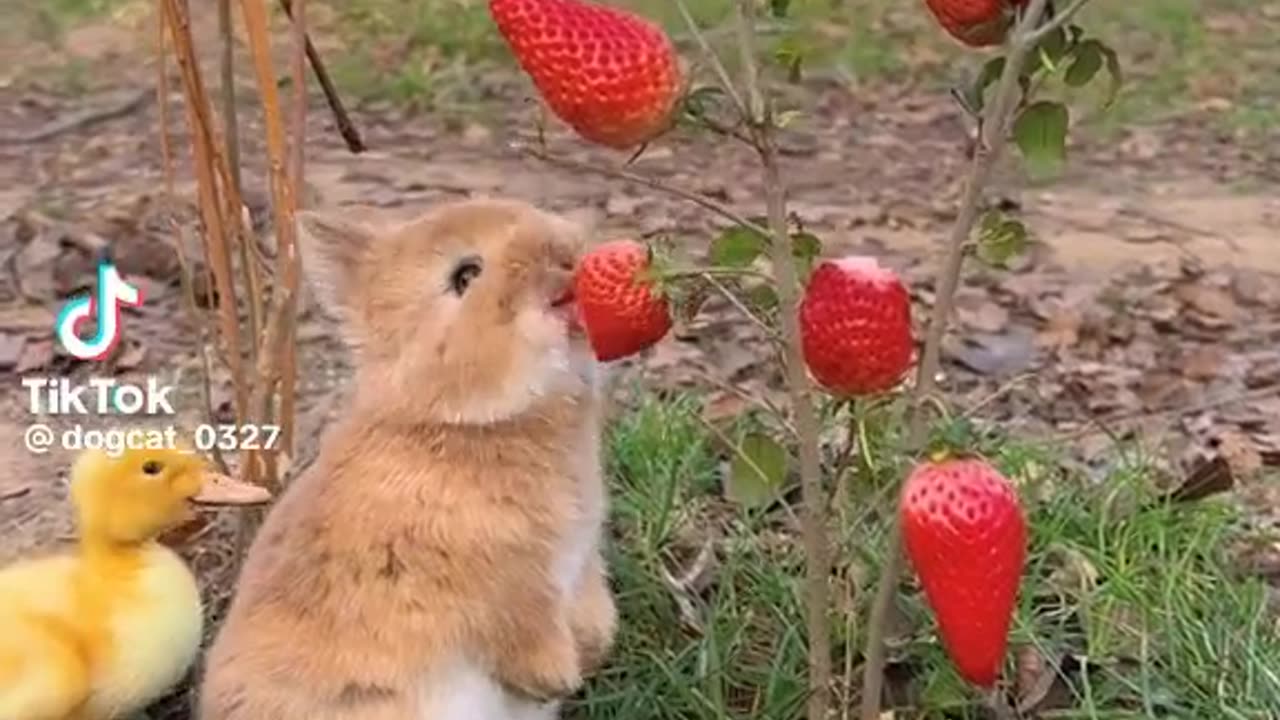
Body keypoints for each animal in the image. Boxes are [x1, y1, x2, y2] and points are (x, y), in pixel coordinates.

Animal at [197, 197, 616, 717]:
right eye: (465, 274)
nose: (566, 256)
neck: (458, 423)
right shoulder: (505, 588)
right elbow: (522, 631)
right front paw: (557, 677)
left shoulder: (580, 560)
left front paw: (593, 648)